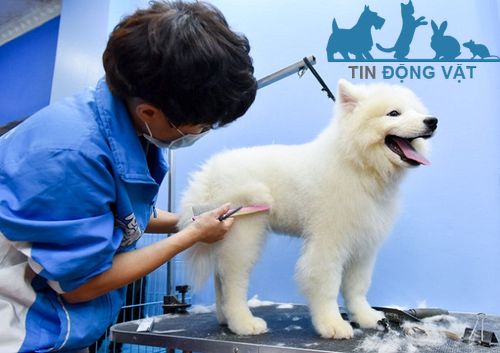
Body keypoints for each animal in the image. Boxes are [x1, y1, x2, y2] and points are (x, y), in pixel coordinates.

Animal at [180, 79, 438, 338]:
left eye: (417, 111)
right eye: (394, 113)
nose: (432, 121)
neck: (358, 166)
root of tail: (211, 170)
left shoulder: (362, 244)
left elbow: (357, 287)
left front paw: (366, 317)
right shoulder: (329, 240)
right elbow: (326, 284)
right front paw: (332, 324)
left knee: (220, 278)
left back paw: (224, 319)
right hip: (245, 234)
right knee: (232, 282)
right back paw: (244, 323)